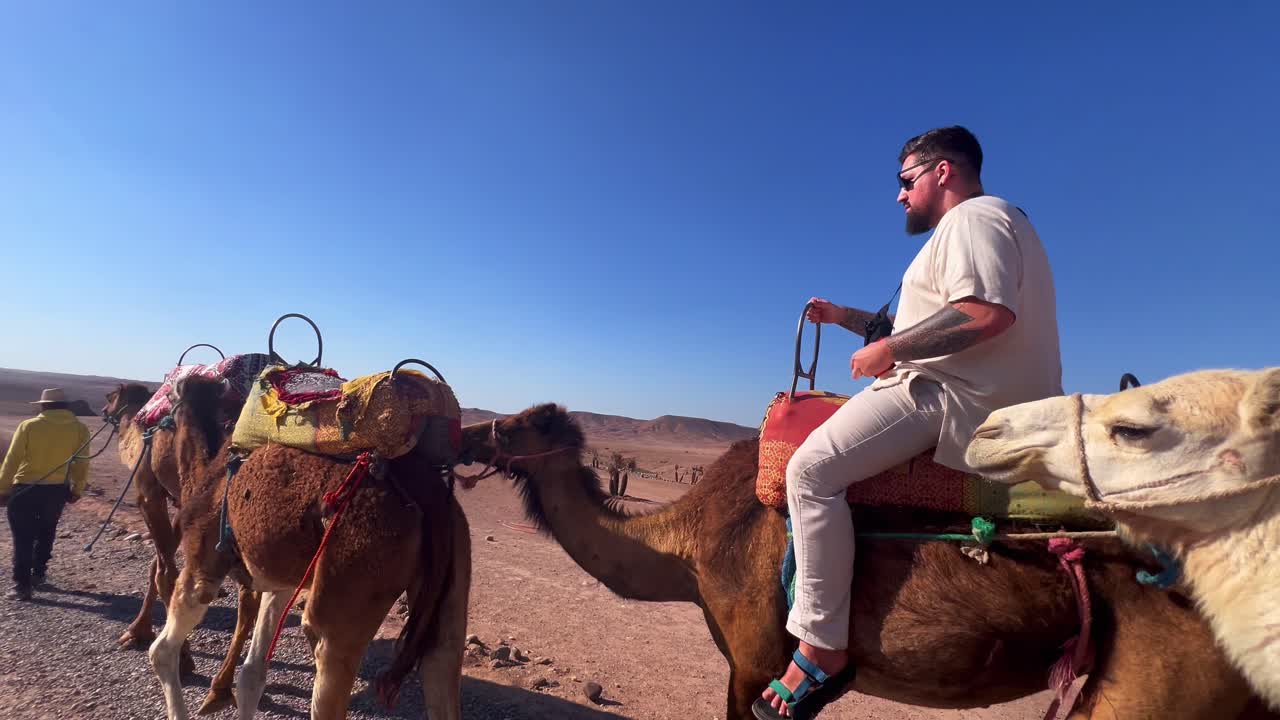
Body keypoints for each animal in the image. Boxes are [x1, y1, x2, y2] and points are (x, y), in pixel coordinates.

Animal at [103, 383, 258, 714]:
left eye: (110, 396)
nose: (103, 410)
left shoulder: (149, 493)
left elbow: (165, 572)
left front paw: (176, 654)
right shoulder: (186, 506)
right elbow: (158, 566)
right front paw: (140, 631)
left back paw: (219, 687)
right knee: (249, 600)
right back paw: (222, 687)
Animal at [150, 374, 470, 720]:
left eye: (167, 400)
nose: (148, 418)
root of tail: (428, 493)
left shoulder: (204, 560)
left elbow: (161, 651)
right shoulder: (280, 583)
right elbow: (252, 675)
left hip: (353, 572)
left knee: (325, 645)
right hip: (451, 584)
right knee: (442, 658)